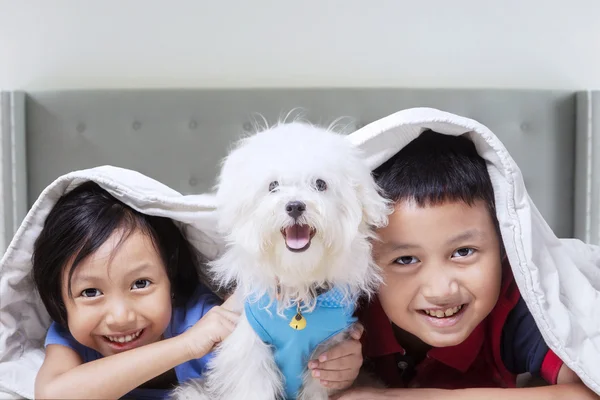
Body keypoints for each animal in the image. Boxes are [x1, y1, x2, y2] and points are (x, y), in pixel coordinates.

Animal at [171, 122, 392, 400]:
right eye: (273, 185)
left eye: (320, 184)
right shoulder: (251, 351)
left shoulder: (327, 354)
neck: (297, 284)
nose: (295, 206)